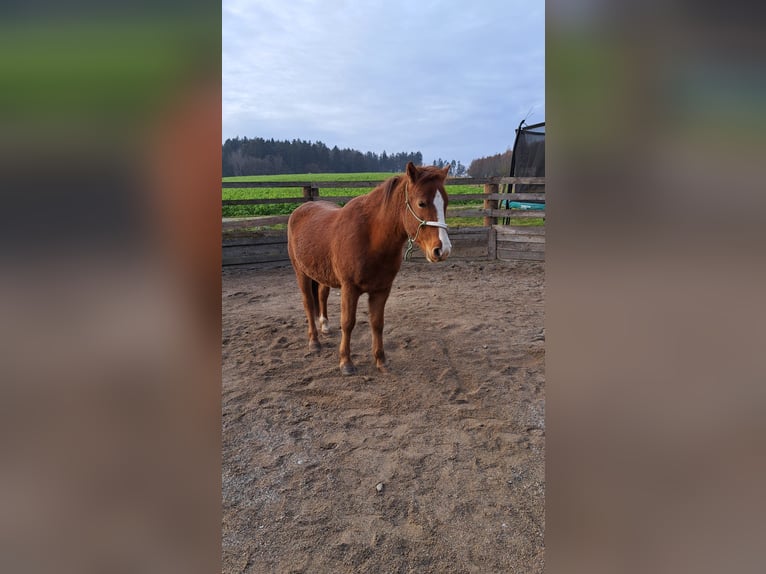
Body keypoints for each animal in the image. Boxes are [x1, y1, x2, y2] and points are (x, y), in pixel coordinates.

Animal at [290, 162, 456, 378]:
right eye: (421, 203)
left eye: (445, 203)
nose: (442, 250)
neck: (371, 237)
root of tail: (300, 209)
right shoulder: (349, 288)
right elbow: (348, 323)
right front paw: (346, 362)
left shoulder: (382, 289)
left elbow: (377, 323)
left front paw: (381, 360)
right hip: (301, 273)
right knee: (309, 304)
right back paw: (314, 342)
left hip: (322, 274)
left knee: (321, 295)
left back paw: (325, 326)